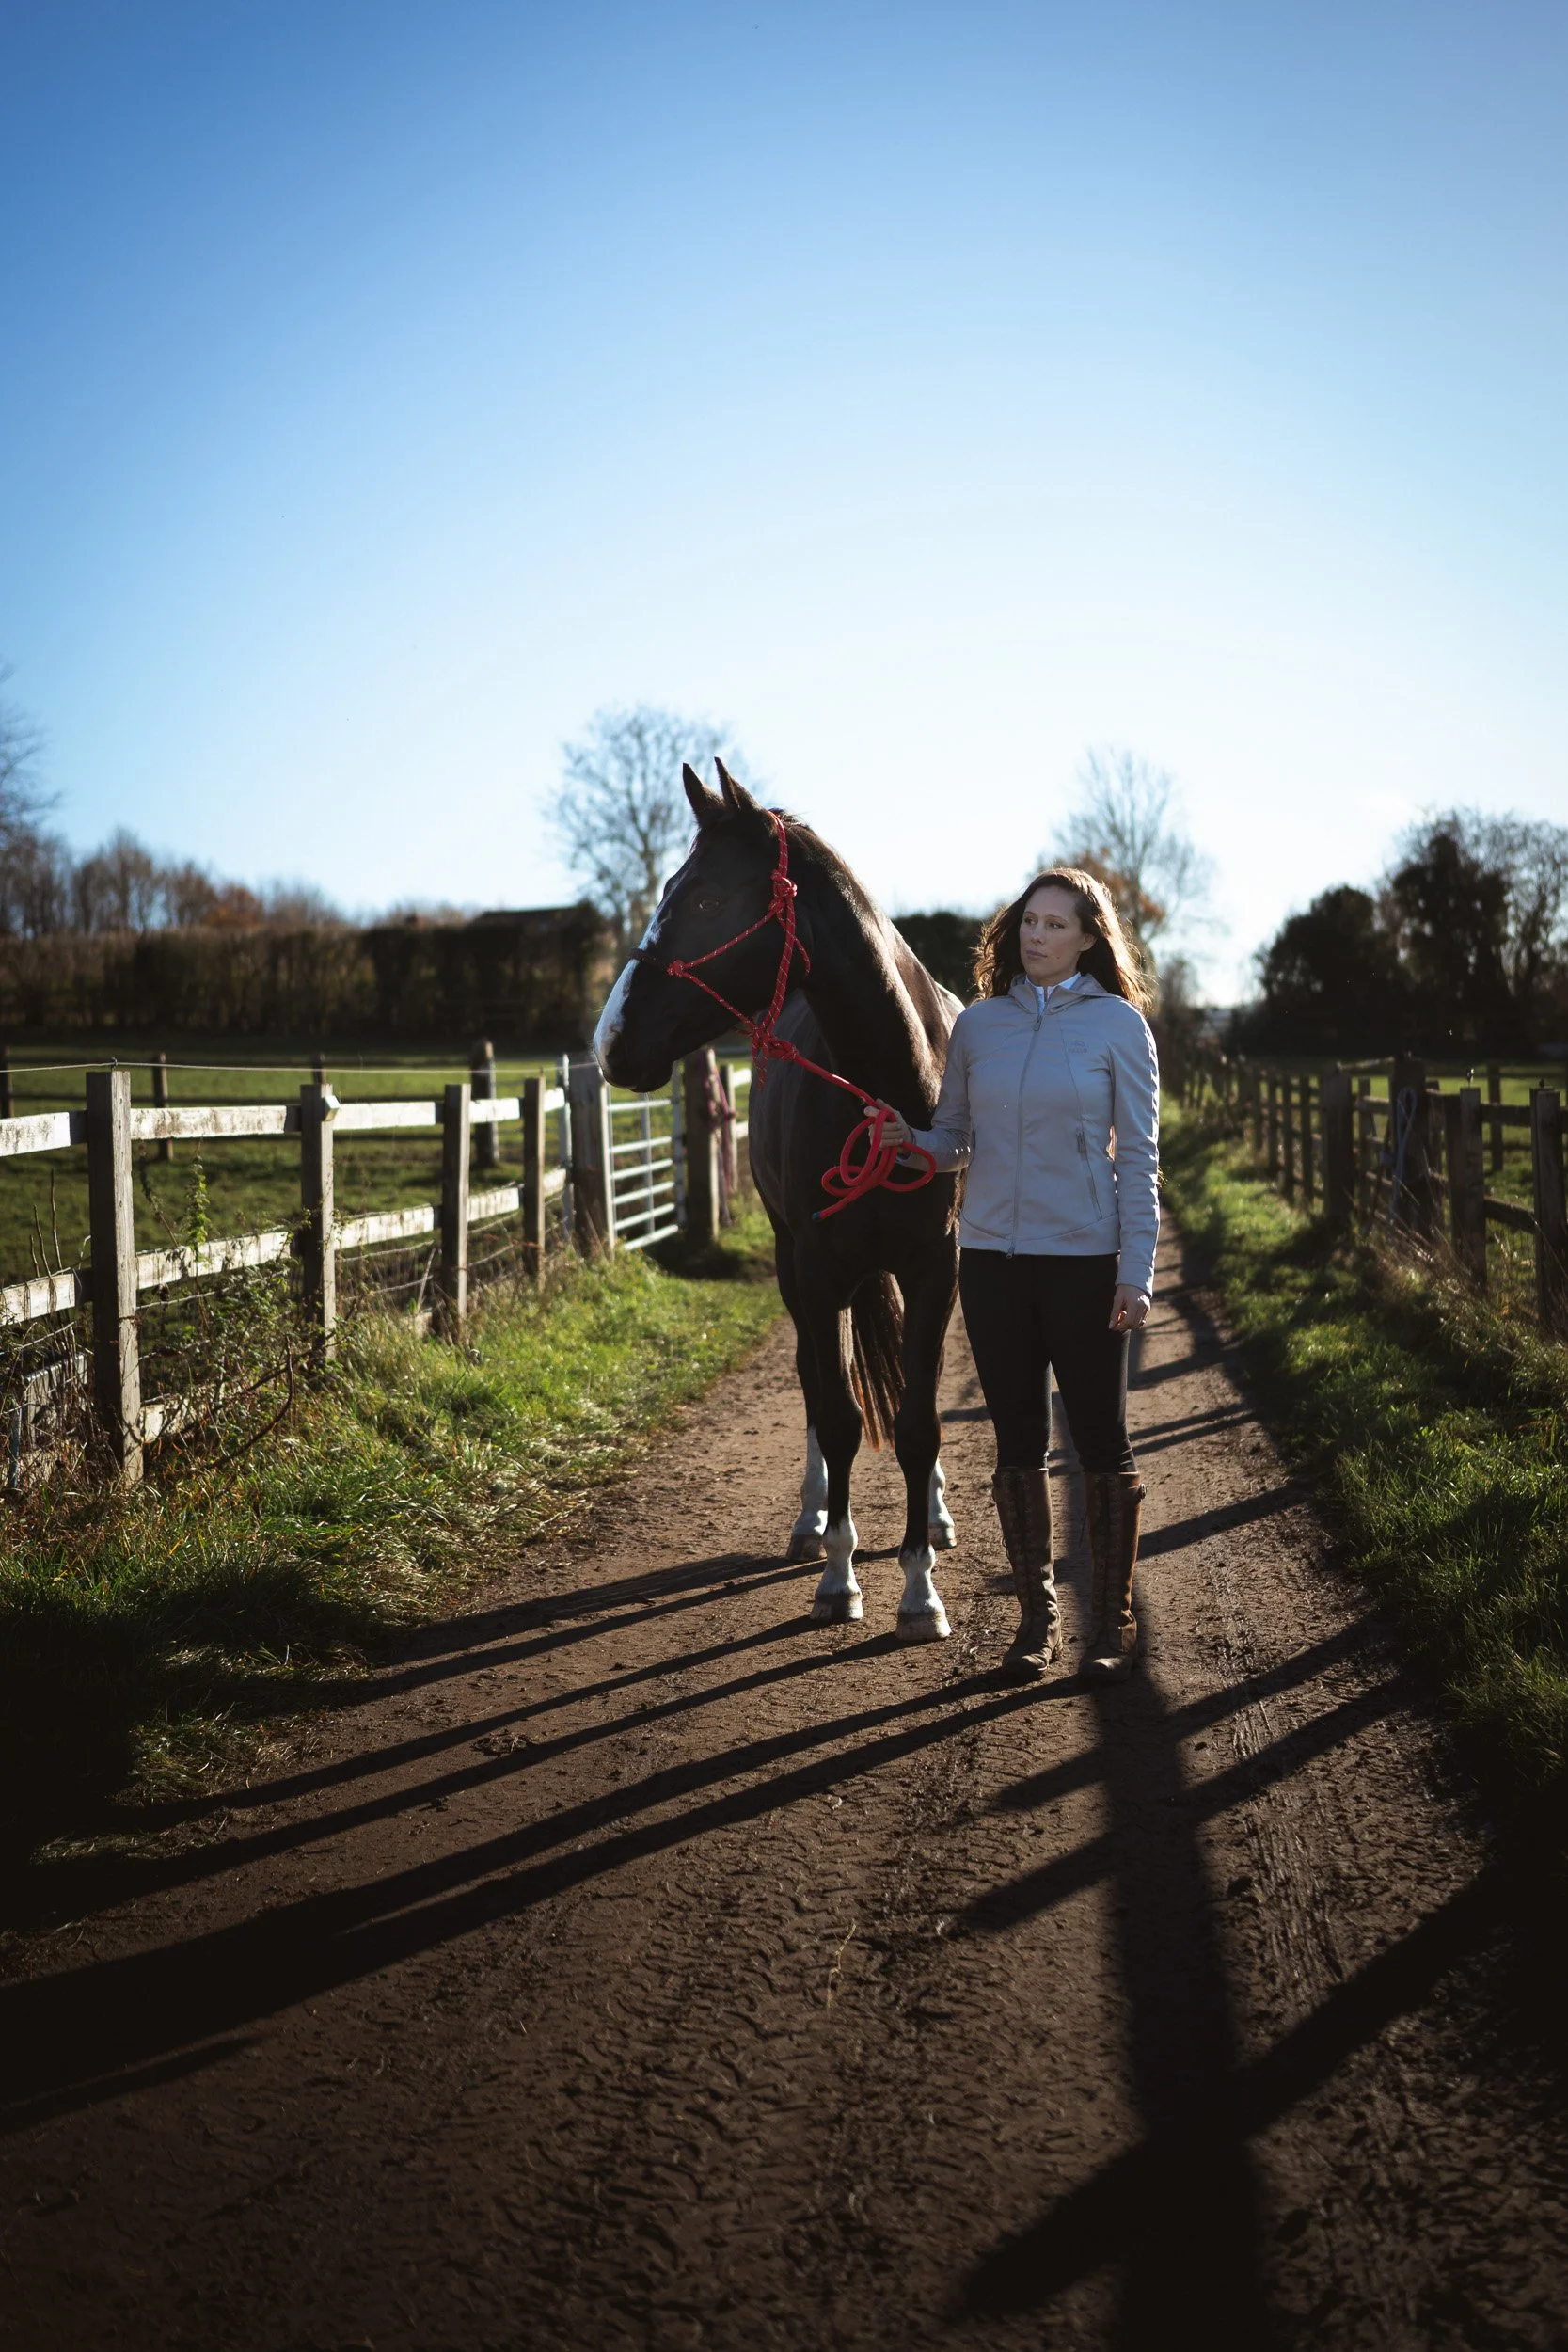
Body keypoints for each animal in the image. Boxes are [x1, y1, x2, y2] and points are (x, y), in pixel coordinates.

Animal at [593, 759, 962, 1640]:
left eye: (701, 901)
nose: (609, 1040)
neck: (892, 1091)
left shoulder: (936, 1267)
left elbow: (919, 1420)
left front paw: (920, 1588)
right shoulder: (822, 1270)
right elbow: (838, 1415)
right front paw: (838, 1574)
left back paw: (932, 1516)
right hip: (797, 1267)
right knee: (815, 1386)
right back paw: (811, 1520)